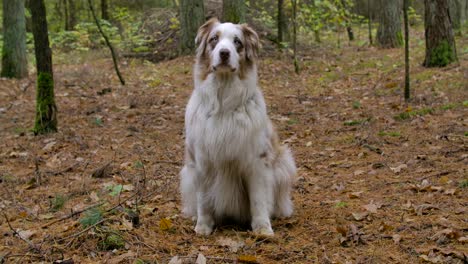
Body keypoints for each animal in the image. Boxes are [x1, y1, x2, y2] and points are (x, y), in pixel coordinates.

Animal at [180, 19, 296, 237]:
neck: (223, 100)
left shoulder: (257, 161)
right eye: (214, 39)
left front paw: (262, 228)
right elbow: (203, 199)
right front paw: (203, 226)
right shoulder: (202, 160)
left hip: (283, 163)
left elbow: (258, 199)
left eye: (237, 42)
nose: (224, 53)